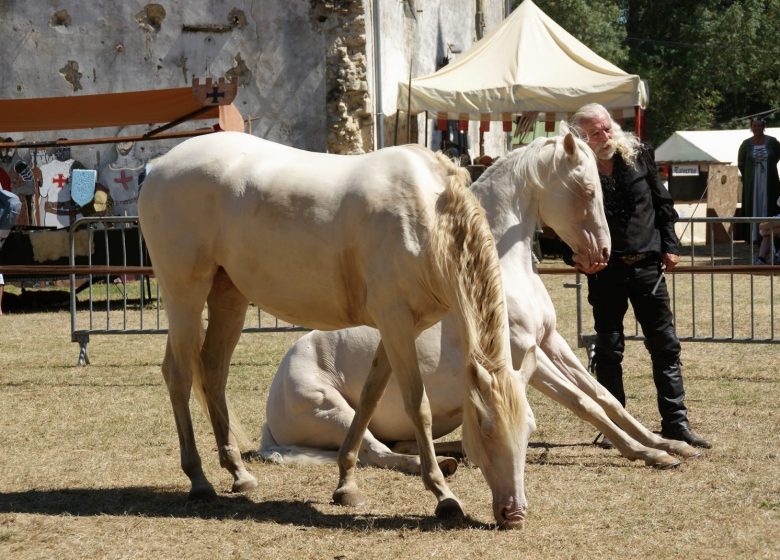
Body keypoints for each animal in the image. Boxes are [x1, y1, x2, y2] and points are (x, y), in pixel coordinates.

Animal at [140, 132, 596, 528]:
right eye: (485, 428)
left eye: (529, 430)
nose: (514, 514)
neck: (428, 216)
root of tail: (158, 166)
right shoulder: (394, 320)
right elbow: (417, 406)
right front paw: (444, 496)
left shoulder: (401, 327)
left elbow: (370, 399)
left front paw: (346, 485)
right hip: (184, 291)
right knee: (178, 374)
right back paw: (199, 479)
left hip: (228, 295)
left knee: (212, 372)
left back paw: (238, 473)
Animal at [260, 131, 700, 472]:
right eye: (589, 190)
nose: (601, 255)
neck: (504, 270)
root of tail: (272, 409)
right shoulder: (523, 355)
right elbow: (583, 402)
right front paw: (650, 455)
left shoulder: (550, 342)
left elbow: (604, 396)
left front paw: (668, 444)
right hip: (338, 413)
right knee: (378, 452)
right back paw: (439, 464)